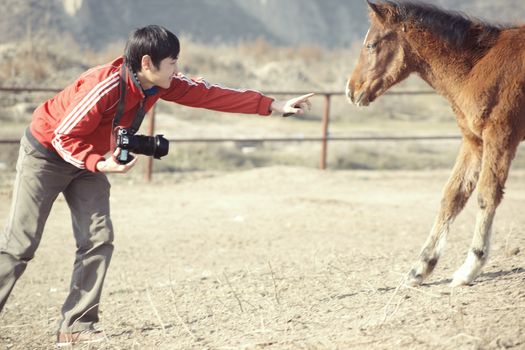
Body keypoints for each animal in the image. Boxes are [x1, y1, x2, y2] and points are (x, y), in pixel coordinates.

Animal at [344, 0, 524, 288]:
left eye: (371, 45)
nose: (351, 91)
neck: (478, 66)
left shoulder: (501, 136)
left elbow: (486, 195)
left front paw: (469, 268)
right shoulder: (474, 142)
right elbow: (452, 196)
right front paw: (419, 269)